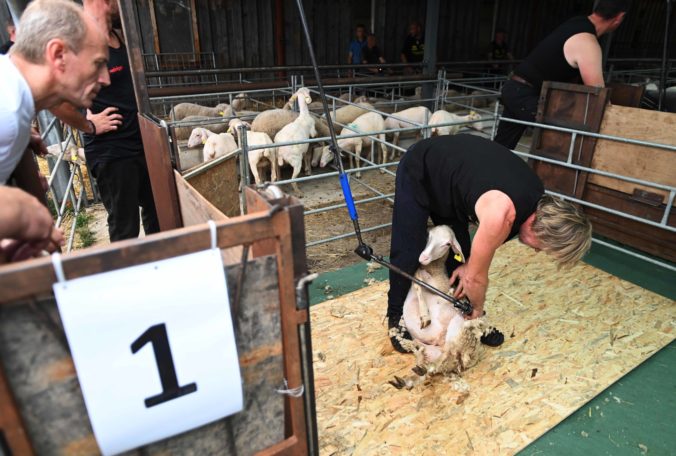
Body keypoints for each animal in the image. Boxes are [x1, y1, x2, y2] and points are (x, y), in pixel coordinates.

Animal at [388, 226, 488, 390]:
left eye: (447, 244)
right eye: (429, 235)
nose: (423, 258)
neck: (434, 270)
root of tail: (470, 355)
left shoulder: (436, 286)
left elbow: (418, 279)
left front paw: (425, 316)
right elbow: (416, 278)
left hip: (456, 331)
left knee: (447, 356)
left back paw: (420, 369)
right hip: (435, 348)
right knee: (441, 361)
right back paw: (412, 373)